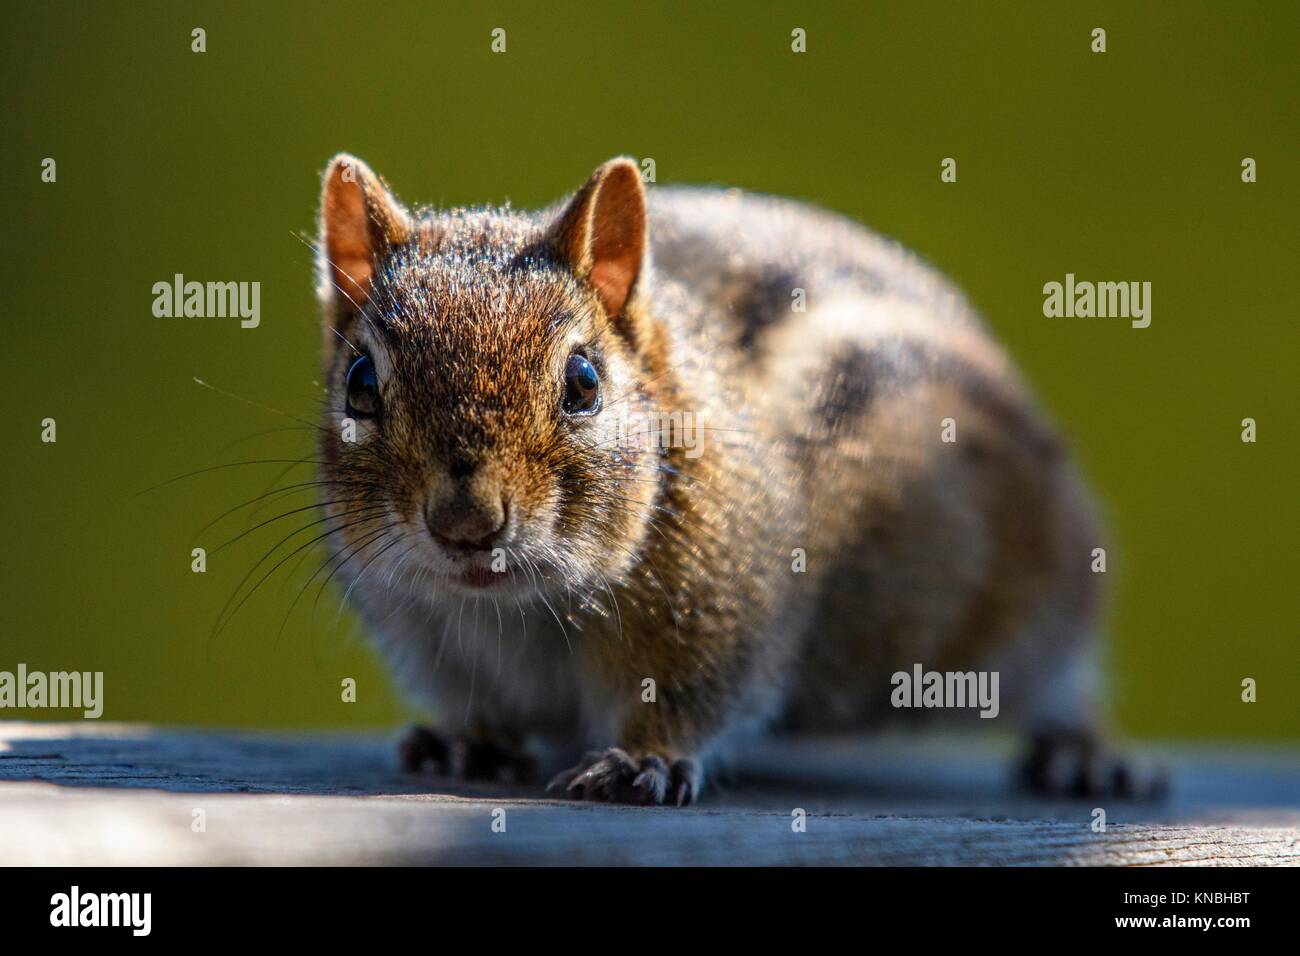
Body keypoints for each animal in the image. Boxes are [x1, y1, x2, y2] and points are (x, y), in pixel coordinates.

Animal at [314, 154, 1159, 806]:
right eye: (360, 383)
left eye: (583, 381)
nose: (465, 523)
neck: (520, 611)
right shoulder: (427, 637)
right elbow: (474, 705)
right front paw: (470, 741)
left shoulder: (718, 612)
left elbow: (693, 697)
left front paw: (643, 762)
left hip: (1035, 602)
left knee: (1063, 675)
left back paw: (1084, 752)